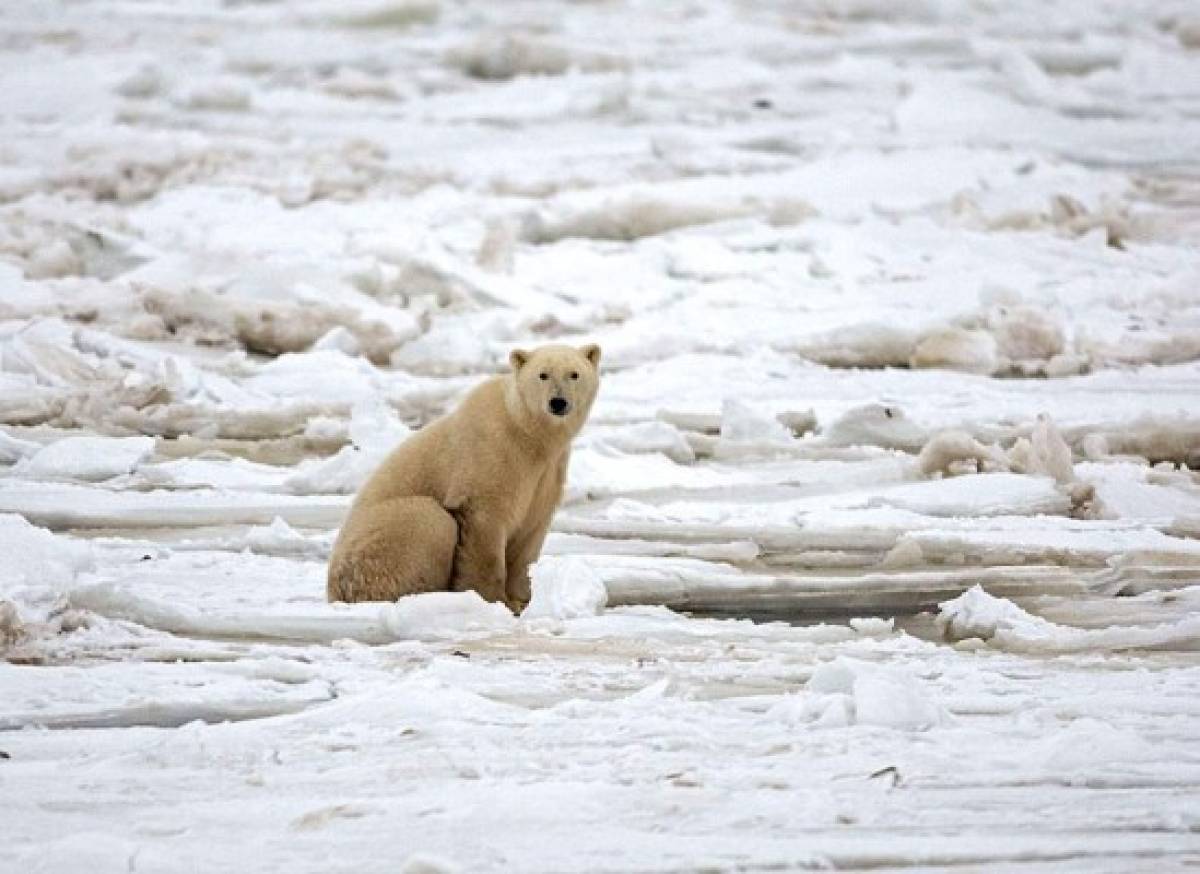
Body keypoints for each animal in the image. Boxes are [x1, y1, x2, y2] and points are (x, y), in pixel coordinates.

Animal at [328, 345, 600, 612]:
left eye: (574, 374)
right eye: (543, 374)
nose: (558, 402)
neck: (527, 432)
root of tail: (334, 593)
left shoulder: (547, 472)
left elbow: (531, 531)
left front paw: (522, 599)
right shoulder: (491, 455)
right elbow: (484, 528)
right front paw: (494, 600)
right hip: (377, 542)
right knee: (429, 518)